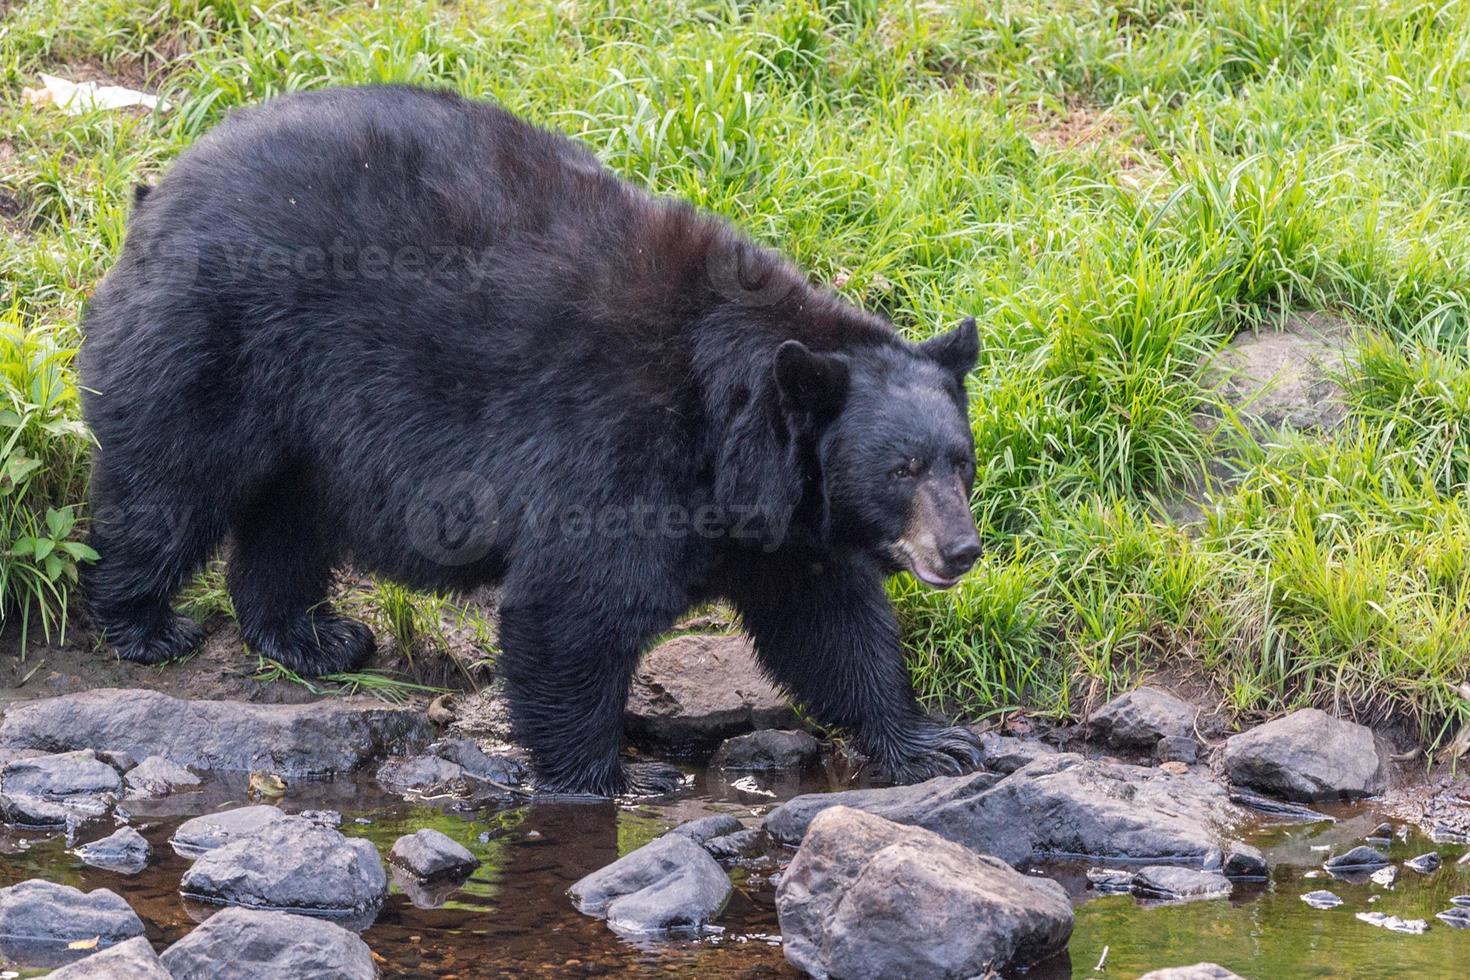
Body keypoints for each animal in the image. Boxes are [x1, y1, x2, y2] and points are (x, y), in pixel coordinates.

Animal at [74, 86, 981, 799]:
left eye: (960, 462)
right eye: (902, 468)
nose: (963, 550)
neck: (732, 434)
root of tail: (160, 190)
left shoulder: (791, 527)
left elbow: (830, 625)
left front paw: (933, 742)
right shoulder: (621, 447)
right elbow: (572, 606)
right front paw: (607, 779)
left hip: (307, 425)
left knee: (287, 517)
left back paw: (312, 637)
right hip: (217, 338)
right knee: (168, 483)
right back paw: (146, 625)